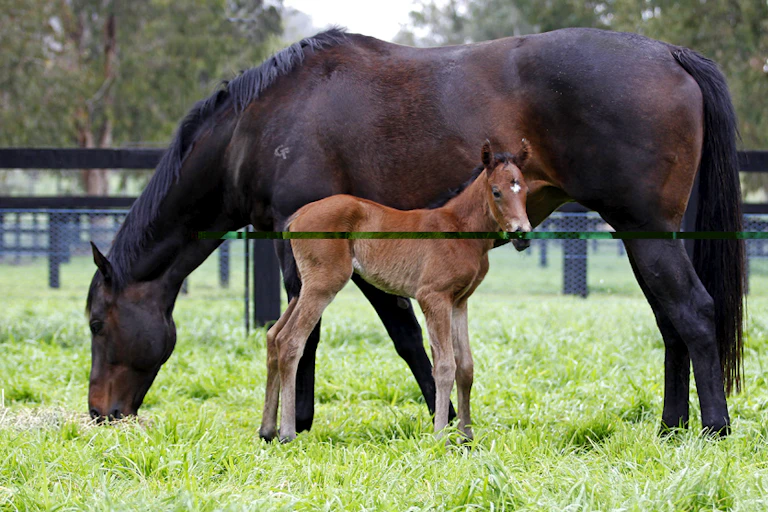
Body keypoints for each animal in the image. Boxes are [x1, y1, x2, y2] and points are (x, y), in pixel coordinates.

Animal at [259, 141, 532, 442]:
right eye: (496, 191)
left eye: (525, 190)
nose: (523, 235)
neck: (459, 228)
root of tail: (298, 215)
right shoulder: (433, 297)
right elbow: (445, 366)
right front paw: (440, 437)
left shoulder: (459, 302)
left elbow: (466, 367)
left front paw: (467, 439)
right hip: (323, 285)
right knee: (290, 341)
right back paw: (287, 432)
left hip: (304, 287)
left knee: (274, 336)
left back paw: (267, 429)